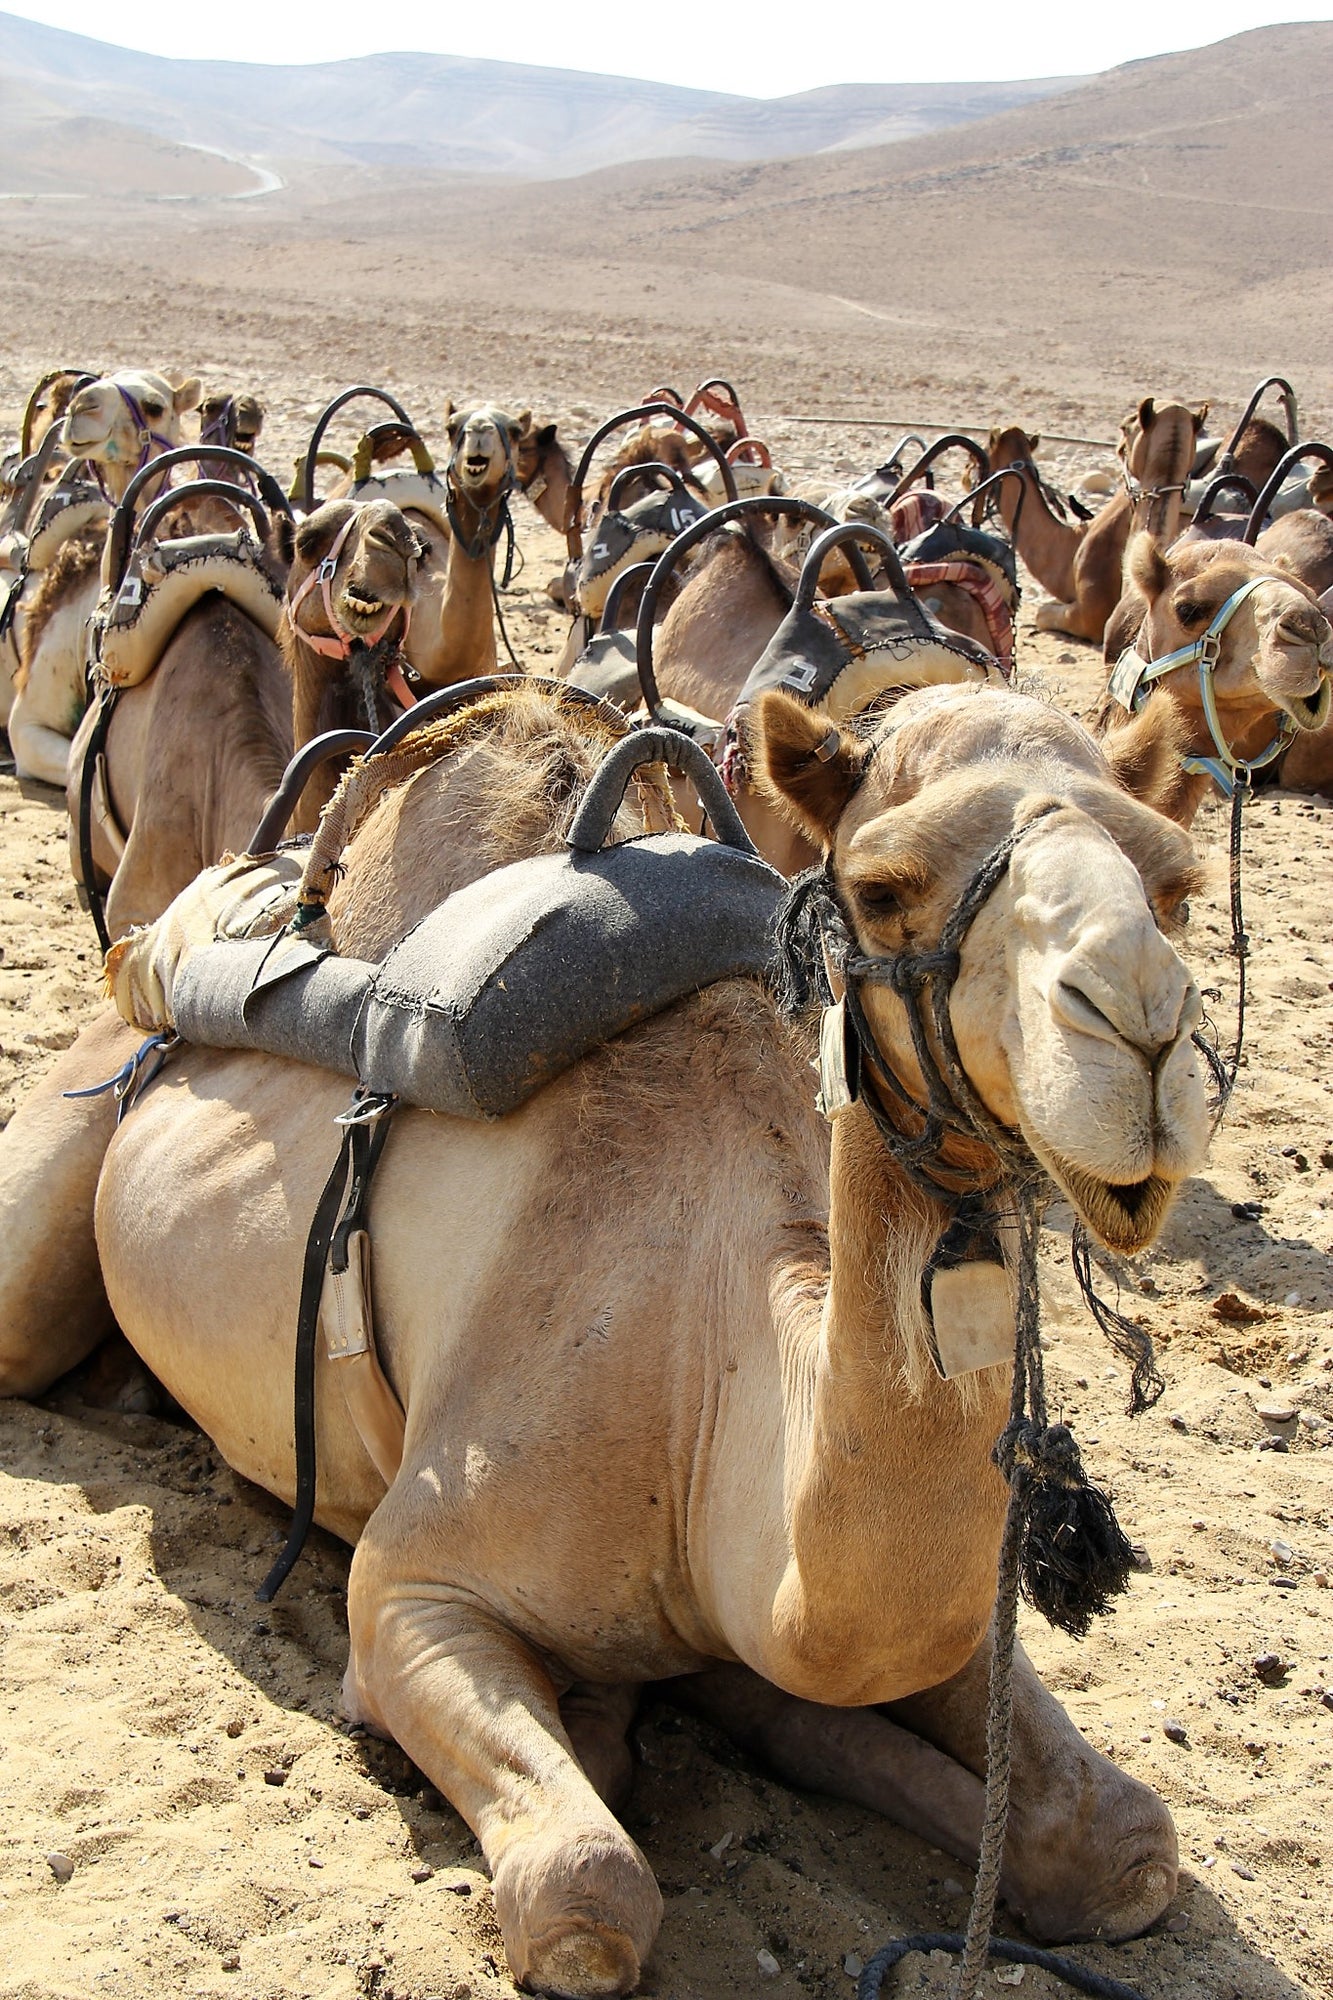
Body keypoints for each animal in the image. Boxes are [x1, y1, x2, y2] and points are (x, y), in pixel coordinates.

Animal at [0, 676, 1200, 2000]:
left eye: (1174, 879)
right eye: (883, 884)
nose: (1140, 1031)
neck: (710, 1376)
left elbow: (1125, 1842)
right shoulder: (412, 1580)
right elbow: (589, 1892)